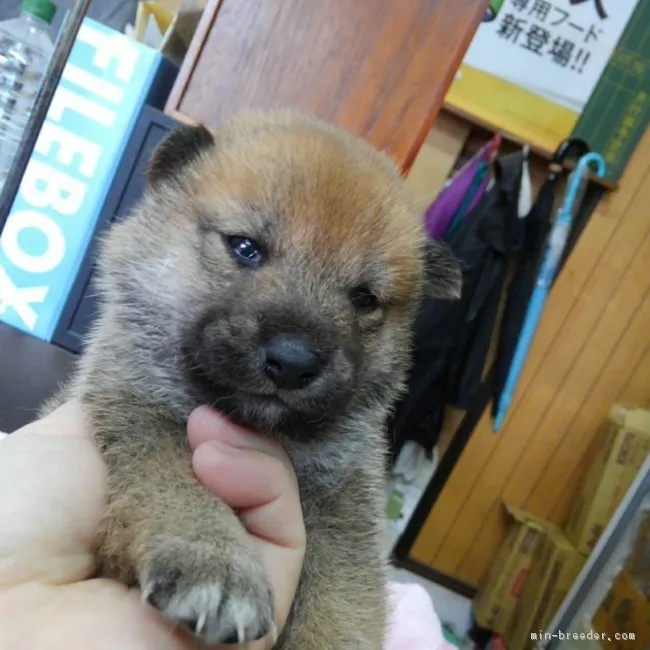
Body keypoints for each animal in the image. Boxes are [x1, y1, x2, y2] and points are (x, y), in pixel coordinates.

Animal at [48, 111, 458, 644]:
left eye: (364, 298)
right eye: (245, 248)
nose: (293, 362)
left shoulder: (346, 509)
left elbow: (342, 602)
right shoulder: (136, 410)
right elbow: (173, 477)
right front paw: (215, 563)